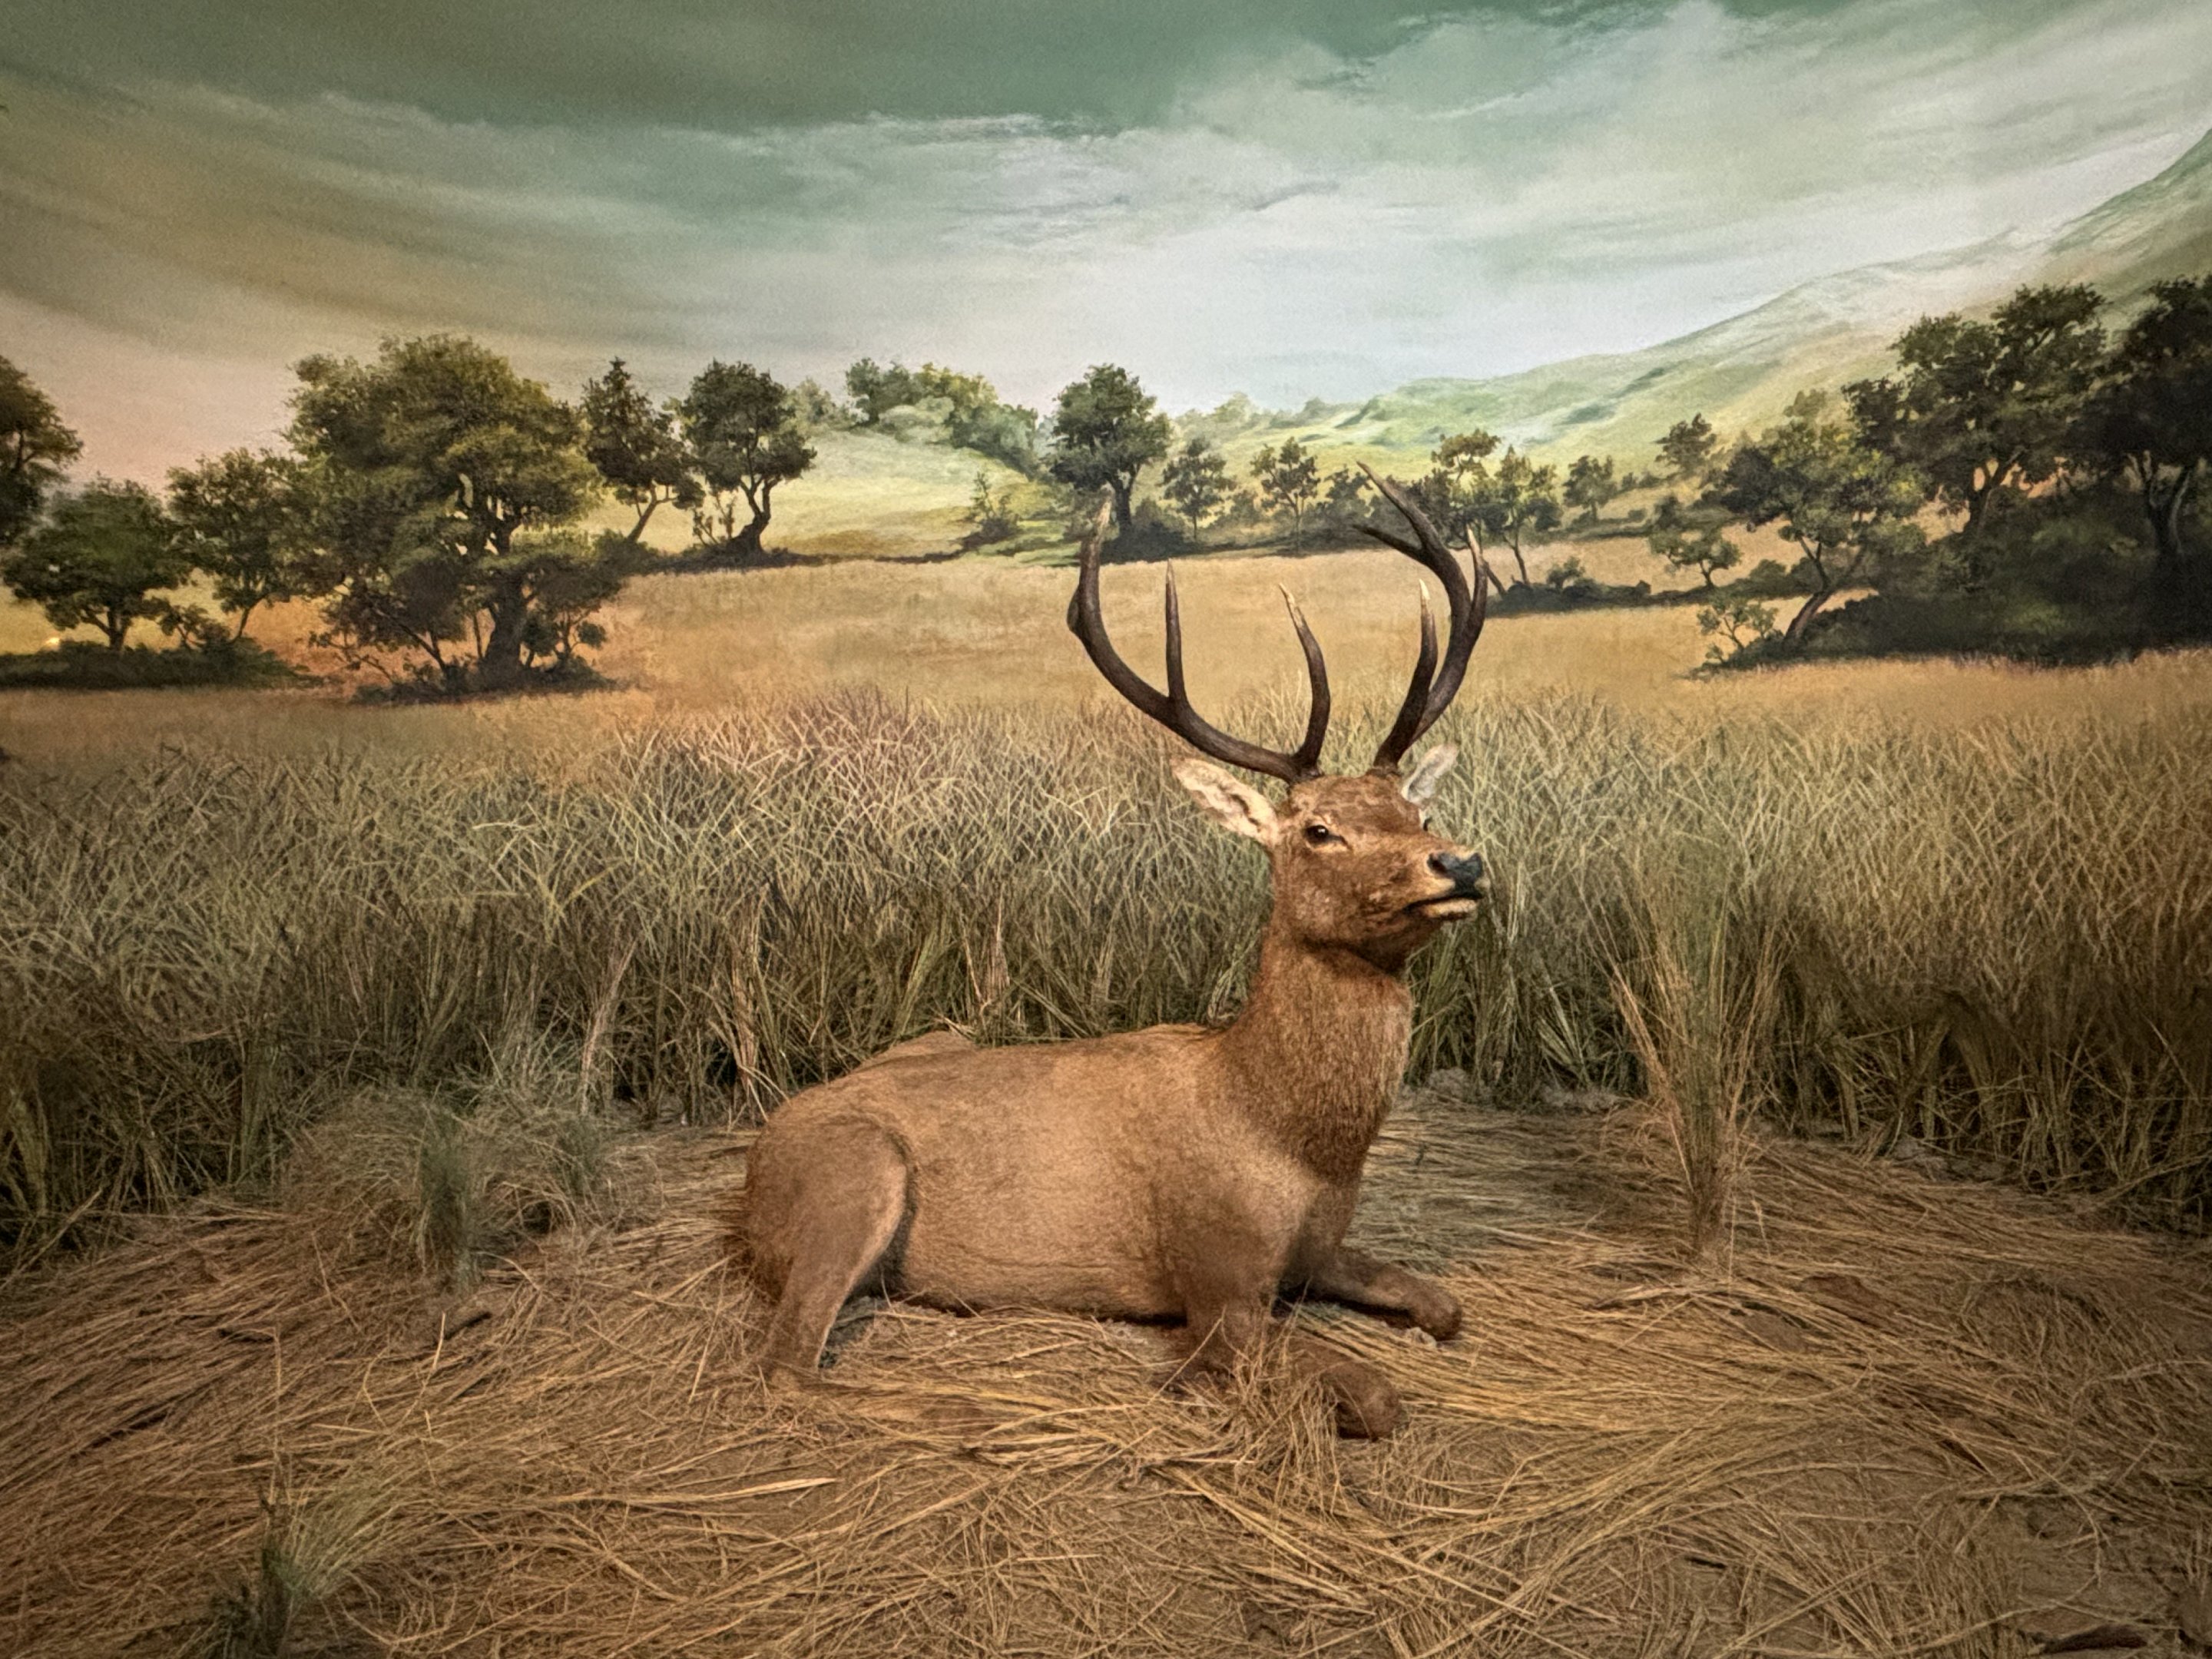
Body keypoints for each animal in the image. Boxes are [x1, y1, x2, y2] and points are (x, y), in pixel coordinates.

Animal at [734, 473, 1491, 1437]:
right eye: (1319, 830)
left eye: (1417, 813)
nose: (1459, 862)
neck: (1287, 1137)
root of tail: (757, 1162)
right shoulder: (1214, 1279)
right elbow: (1375, 1396)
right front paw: (1197, 1388)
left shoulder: (1313, 1255)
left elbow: (1446, 1305)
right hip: (852, 1178)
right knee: (785, 1364)